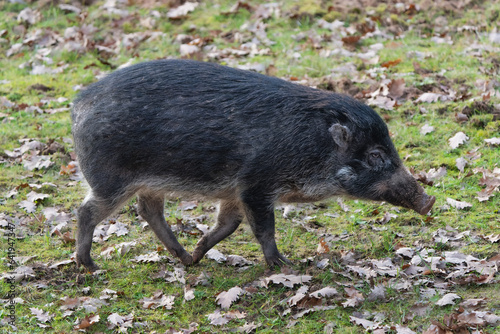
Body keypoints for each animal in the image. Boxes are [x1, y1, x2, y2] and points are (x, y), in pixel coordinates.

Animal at [72, 58, 436, 270]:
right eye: (375, 155)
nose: (429, 199)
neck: (312, 148)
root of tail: (79, 103)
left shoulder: (235, 193)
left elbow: (228, 225)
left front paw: (200, 254)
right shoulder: (256, 185)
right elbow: (263, 228)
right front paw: (284, 266)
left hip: (148, 183)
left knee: (148, 211)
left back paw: (186, 259)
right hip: (110, 180)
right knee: (86, 211)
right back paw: (89, 267)